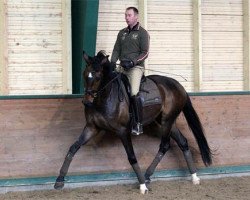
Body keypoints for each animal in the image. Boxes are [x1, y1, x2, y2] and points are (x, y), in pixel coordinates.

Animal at [53, 50, 212, 194]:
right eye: (85, 74)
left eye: (98, 76)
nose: (87, 102)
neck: (105, 98)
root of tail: (178, 86)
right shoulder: (92, 128)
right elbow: (73, 148)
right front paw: (59, 180)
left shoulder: (123, 131)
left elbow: (131, 156)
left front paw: (142, 186)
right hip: (165, 122)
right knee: (183, 142)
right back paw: (194, 177)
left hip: (167, 121)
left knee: (164, 145)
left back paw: (147, 177)